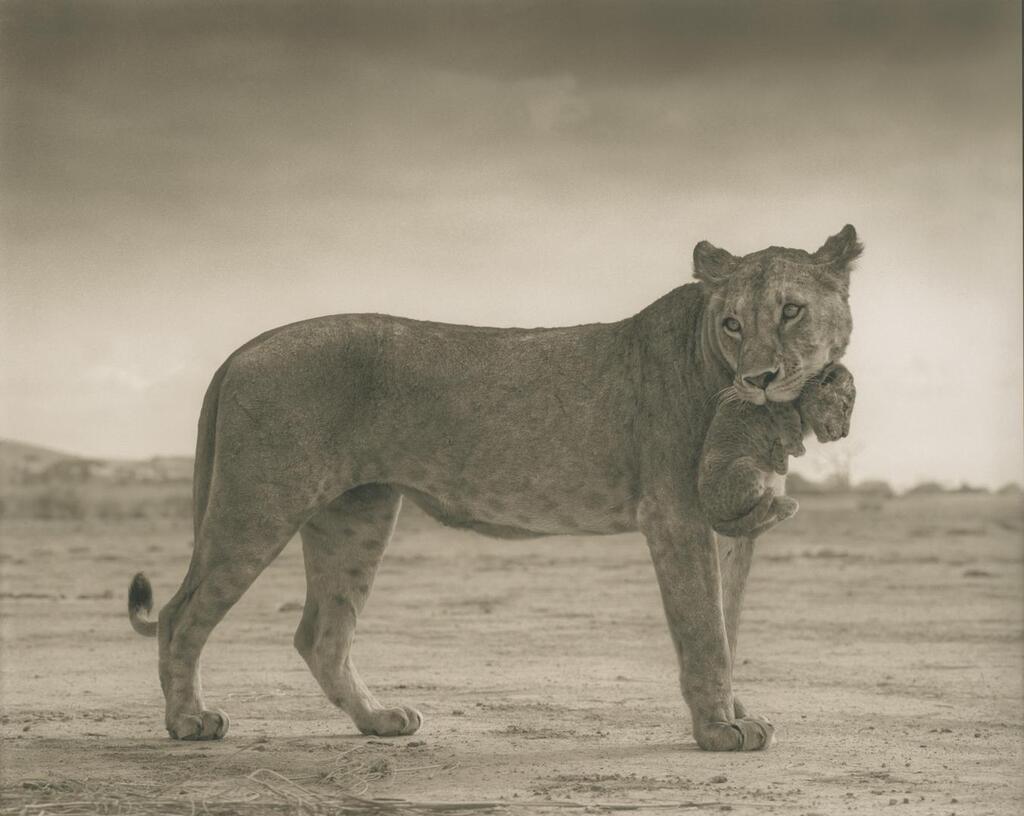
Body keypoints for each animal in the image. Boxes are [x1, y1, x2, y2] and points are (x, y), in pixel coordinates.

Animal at [699, 363, 856, 538]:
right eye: (845, 407)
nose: (845, 434)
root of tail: (710, 517)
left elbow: (783, 463)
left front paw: (780, 456)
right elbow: (785, 416)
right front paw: (791, 447)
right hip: (745, 464)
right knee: (757, 509)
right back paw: (786, 504)